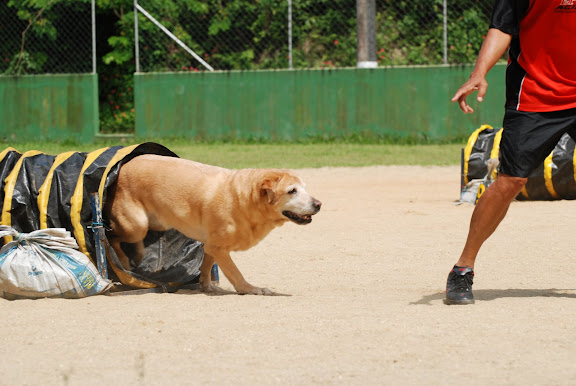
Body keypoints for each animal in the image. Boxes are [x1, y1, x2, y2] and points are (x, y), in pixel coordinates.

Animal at [106, 154, 322, 296]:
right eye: (292, 191)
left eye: (304, 188)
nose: (318, 204)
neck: (244, 200)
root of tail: (123, 165)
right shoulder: (219, 248)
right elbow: (235, 273)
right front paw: (251, 289)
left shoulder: (211, 245)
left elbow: (206, 265)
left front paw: (207, 286)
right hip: (137, 225)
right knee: (112, 236)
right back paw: (123, 261)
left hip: (157, 223)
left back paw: (137, 256)